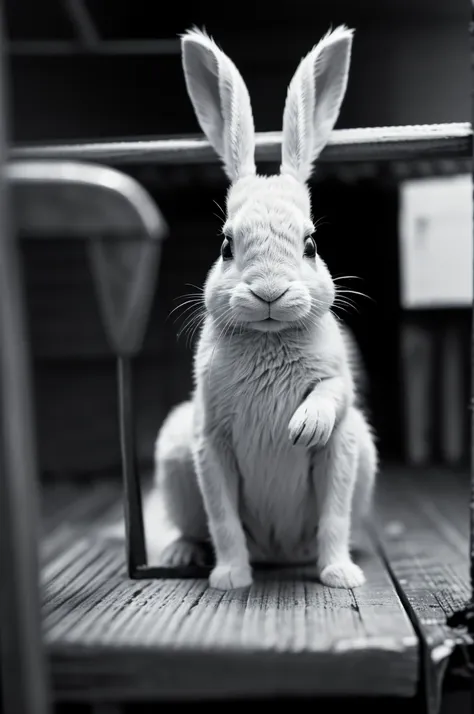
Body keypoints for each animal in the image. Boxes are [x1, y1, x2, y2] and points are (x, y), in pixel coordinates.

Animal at [155, 23, 378, 588]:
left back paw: (338, 568)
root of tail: (279, 552)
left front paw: (301, 427)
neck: (270, 336)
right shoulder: (210, 442)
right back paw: (183, 556)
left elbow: (331, 397)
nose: (269, 292)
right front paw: (231, 579)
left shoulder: (342, 411)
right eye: (226, 244)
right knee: (198, 529)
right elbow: (224, 522)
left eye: (311, 244)